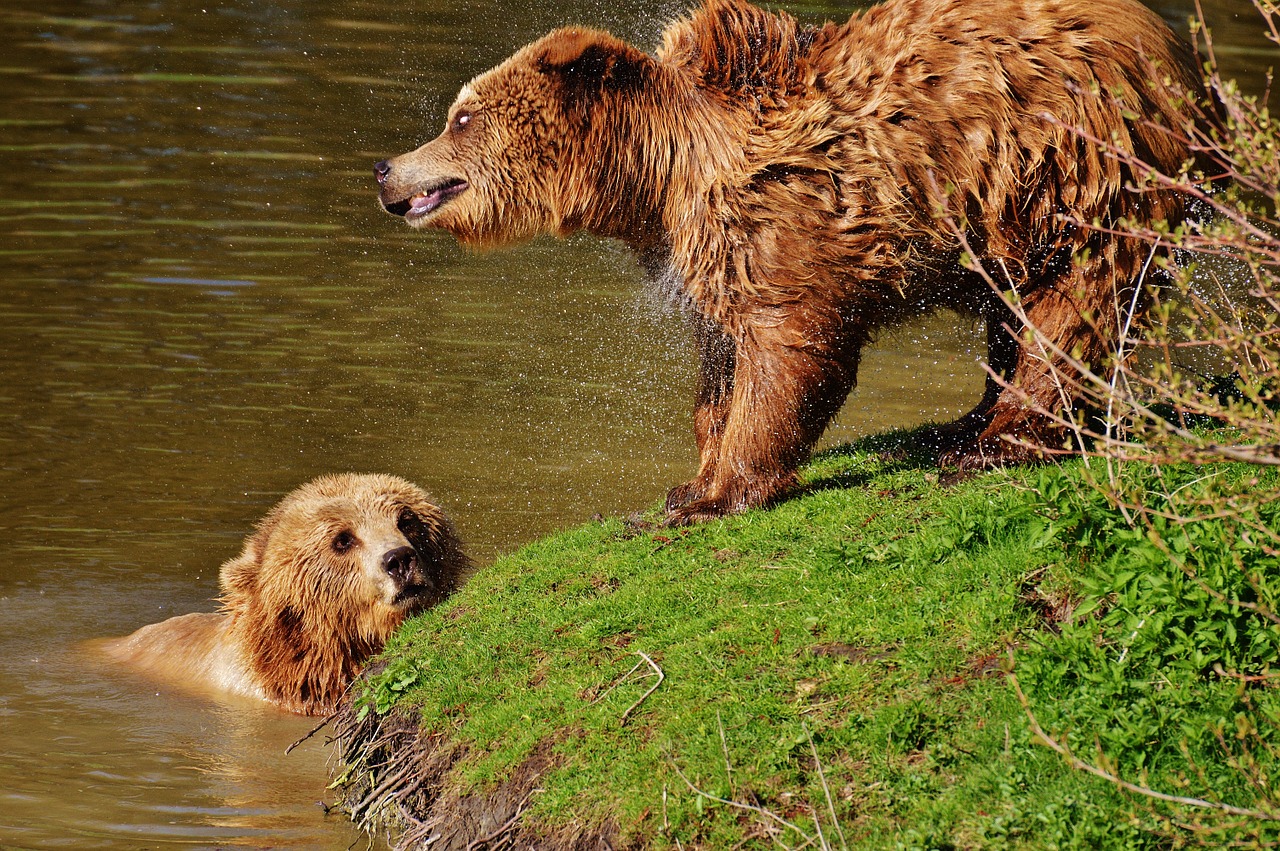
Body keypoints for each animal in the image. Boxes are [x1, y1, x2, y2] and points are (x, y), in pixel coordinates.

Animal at [373, 0, 1218, 524]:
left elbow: (789, 353)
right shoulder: (708, 249)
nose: (386, 167)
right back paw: (966, 421)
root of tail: (1175, 53)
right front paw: (691, 479)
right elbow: (719, 365)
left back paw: (995, 442)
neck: (659, 176)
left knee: (1068, 308)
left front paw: (720, 493)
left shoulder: (786, 220)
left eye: (462, 116)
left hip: (1076, 169)